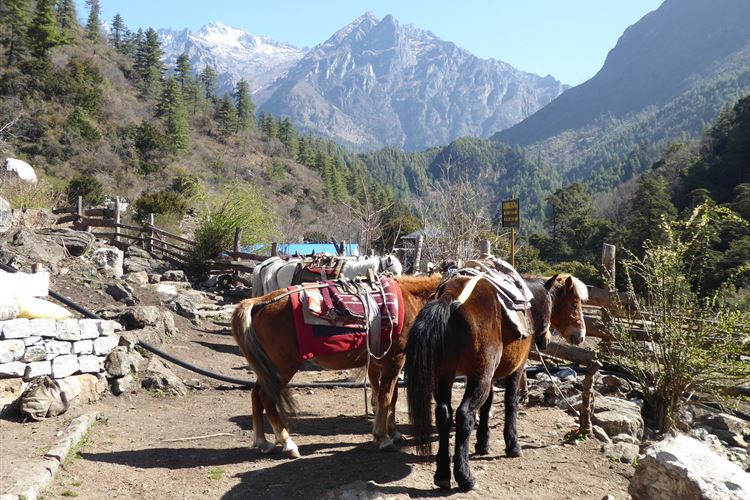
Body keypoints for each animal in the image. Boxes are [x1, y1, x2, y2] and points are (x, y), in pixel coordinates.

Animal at [234, 274, 446, 458]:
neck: (410, 300)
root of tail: (260, 302)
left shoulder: (383, 362)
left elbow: (389, 397)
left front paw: (394, 433)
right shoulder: (395, 360)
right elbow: (386, 397)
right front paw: (383, 437)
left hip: (267, 368)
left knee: (255, 395)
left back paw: (263, 442)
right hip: (282, 368)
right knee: (265, 397)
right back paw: (288, 444)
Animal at [406, 272, 588, 490]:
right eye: (574, 304)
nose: (581, 336)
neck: (528, 303)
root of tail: (450, 300)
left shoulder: (488, 375)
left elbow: (487, 404)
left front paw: (483, 443)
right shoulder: (516, 368)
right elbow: (511, 403)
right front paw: (513, 445)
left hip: (446, 376)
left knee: (444, 413)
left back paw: (442, 474)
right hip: (477, 378)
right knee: (464, 414)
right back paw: (465, 476)